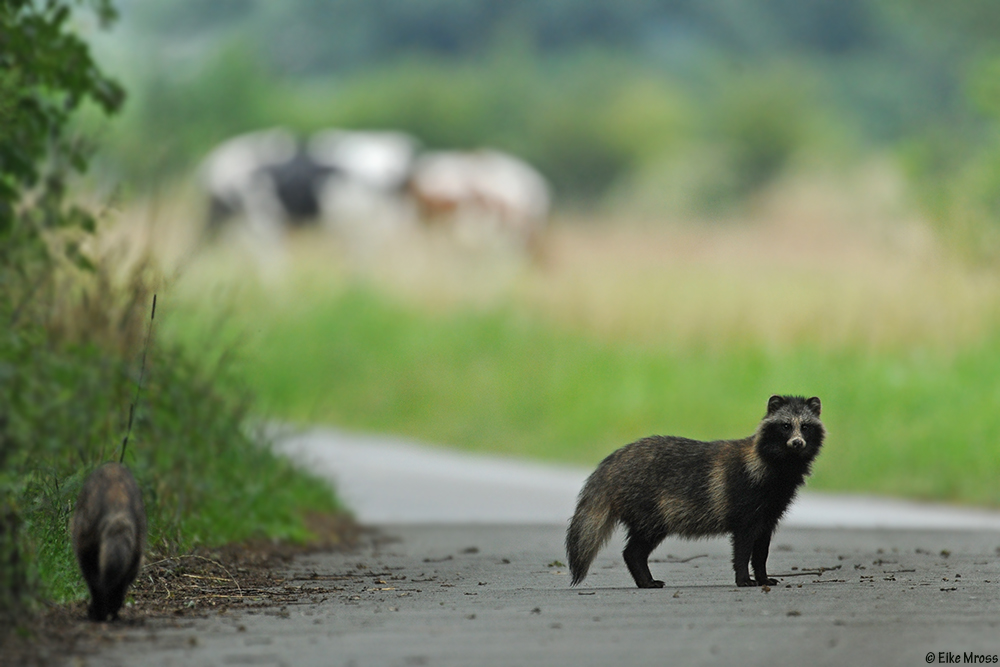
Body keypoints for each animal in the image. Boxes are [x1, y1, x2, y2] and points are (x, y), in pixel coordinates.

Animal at [72, 462, 147, 624]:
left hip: (87, 546)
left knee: (97, 584)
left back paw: (98, 613)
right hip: (135, 552)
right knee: (118, 586)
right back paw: (110, 613)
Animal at [568, 396, 824, 588]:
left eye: (806, 426)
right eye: (785, 426)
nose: (797, 443)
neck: (780, 466)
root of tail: (613, 463)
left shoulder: (771, 509)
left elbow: (761, 548)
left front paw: (762, 576)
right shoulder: (744, 497)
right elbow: (742, 545)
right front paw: (743, 578)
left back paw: (644, 580)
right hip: (648, 503)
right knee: (635, 549)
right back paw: (646, 579)